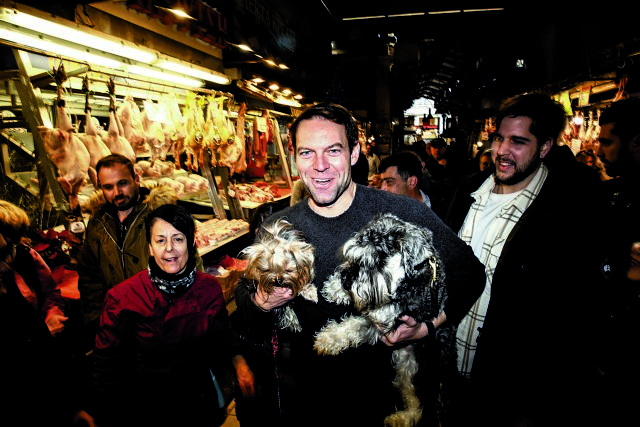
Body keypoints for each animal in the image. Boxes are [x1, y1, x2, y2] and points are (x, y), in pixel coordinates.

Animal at [314, 213, 450, 427]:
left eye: (377, 262)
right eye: (355, 253)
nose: (346, 279)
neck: (410, 282)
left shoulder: (384, 323)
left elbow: (355, 324)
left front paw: (328, 338)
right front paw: (336, 288)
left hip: (423, 374)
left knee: (421, 407)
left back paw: (401, 419)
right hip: (405, 367)